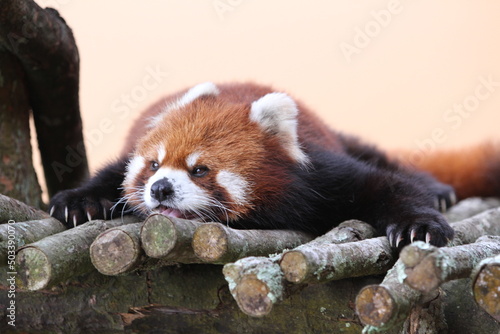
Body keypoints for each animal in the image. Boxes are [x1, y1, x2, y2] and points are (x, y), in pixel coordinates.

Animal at [48, 82, 500, 249]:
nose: (160, 189)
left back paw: (437, 190)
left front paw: (417, 224)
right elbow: (110, 172)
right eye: (153, 165)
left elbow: (384, 185)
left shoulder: (321, 172)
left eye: (200, 170)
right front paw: (80, 201)